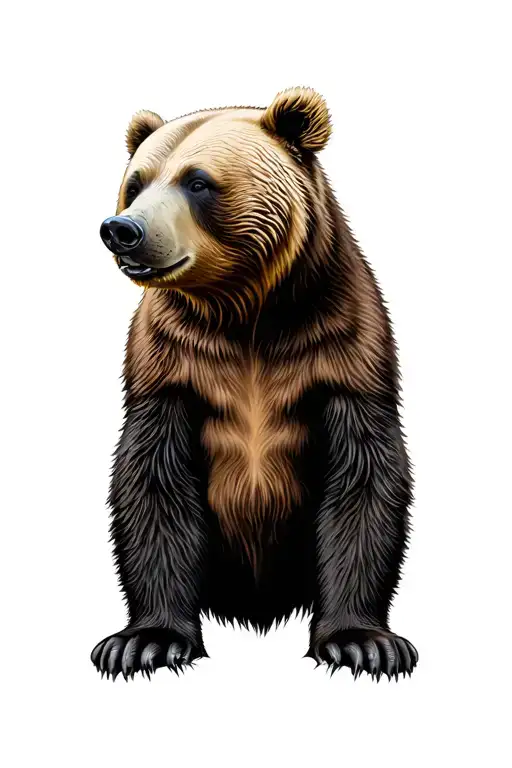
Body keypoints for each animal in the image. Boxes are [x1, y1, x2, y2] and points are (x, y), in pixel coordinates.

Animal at [92, 87, 418, 682]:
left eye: (197, 181)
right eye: (136, 182)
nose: (122, 229)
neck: (245, 314)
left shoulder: (338, 347)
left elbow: (363, 472)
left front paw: (363, 643)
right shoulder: (173, 363)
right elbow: (152, 477)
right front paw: (145, 642)